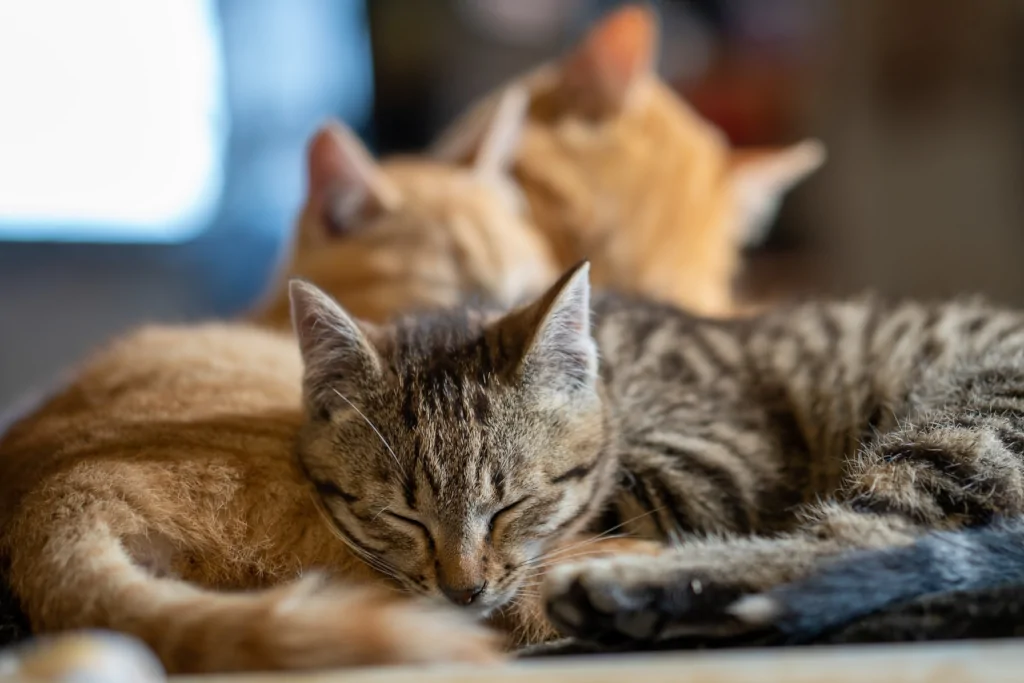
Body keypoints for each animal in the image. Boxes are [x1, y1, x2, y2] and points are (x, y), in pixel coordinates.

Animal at [290, 262, 1024, 647]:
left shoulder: (719, 462)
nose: (462, 590)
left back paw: (635, 594)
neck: (612, 372)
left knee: (864, 543)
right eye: (402, 516)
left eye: (512, 507)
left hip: (962, 428)